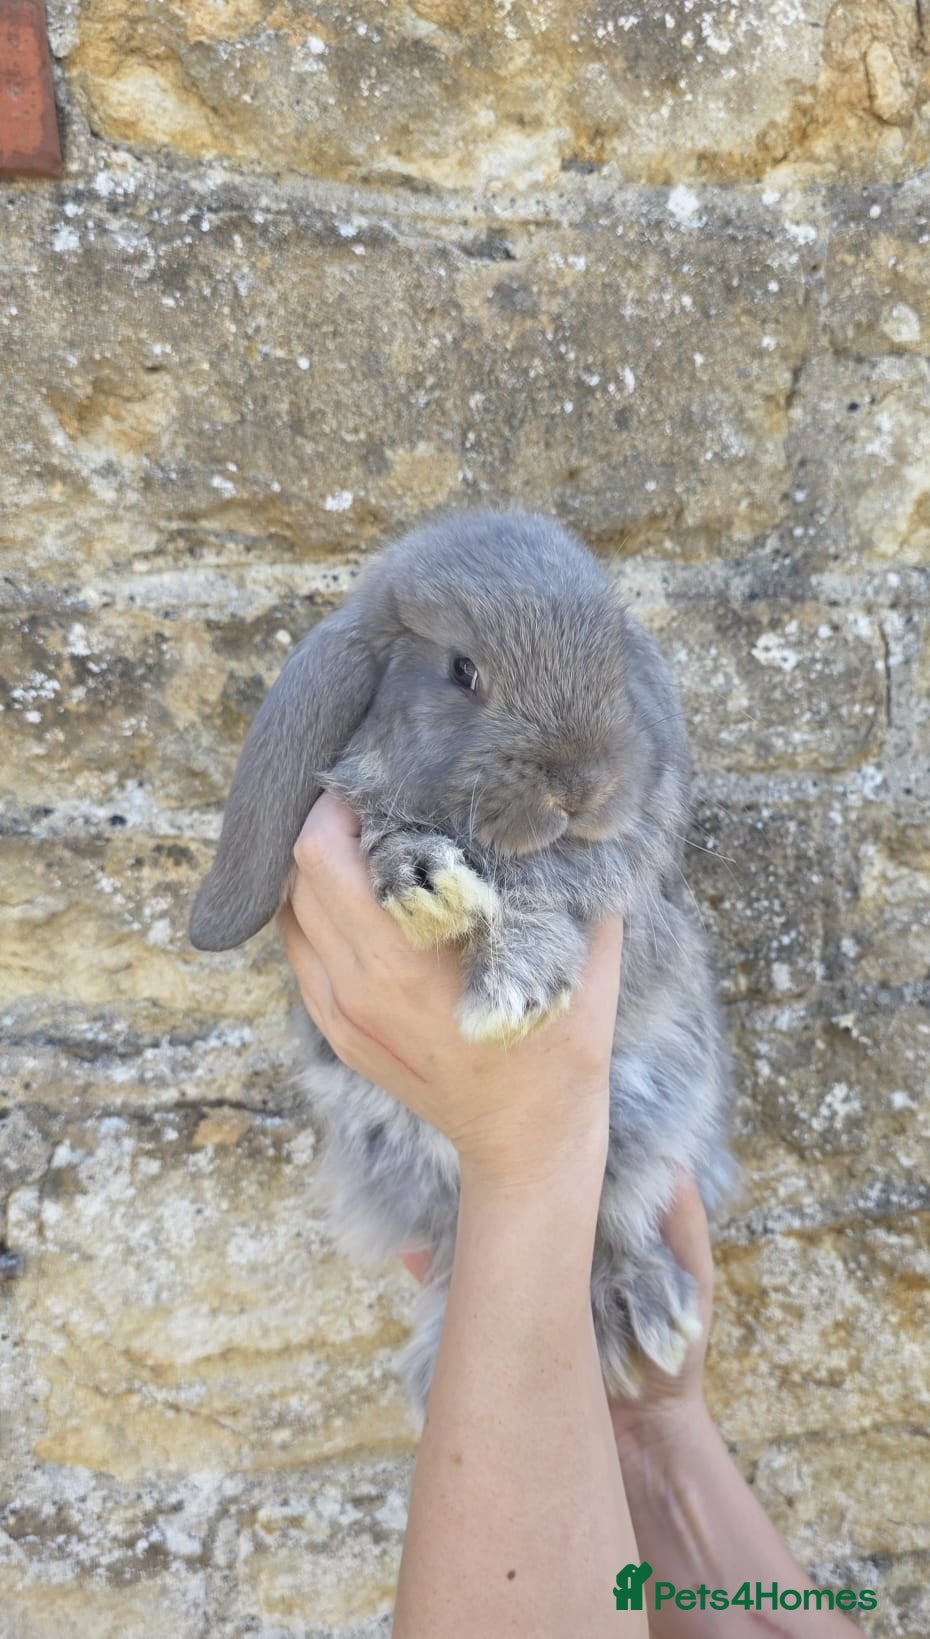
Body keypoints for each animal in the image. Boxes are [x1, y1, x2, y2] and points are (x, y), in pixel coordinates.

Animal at [189, 505, 737, 1417]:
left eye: (613, 653)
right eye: (462, 670)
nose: (581, 784)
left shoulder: (606, 862)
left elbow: (550, 885)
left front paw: (514, 986)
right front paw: (426, 884)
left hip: (655, 1120)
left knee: (621, 1218)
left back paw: (648, 1317)